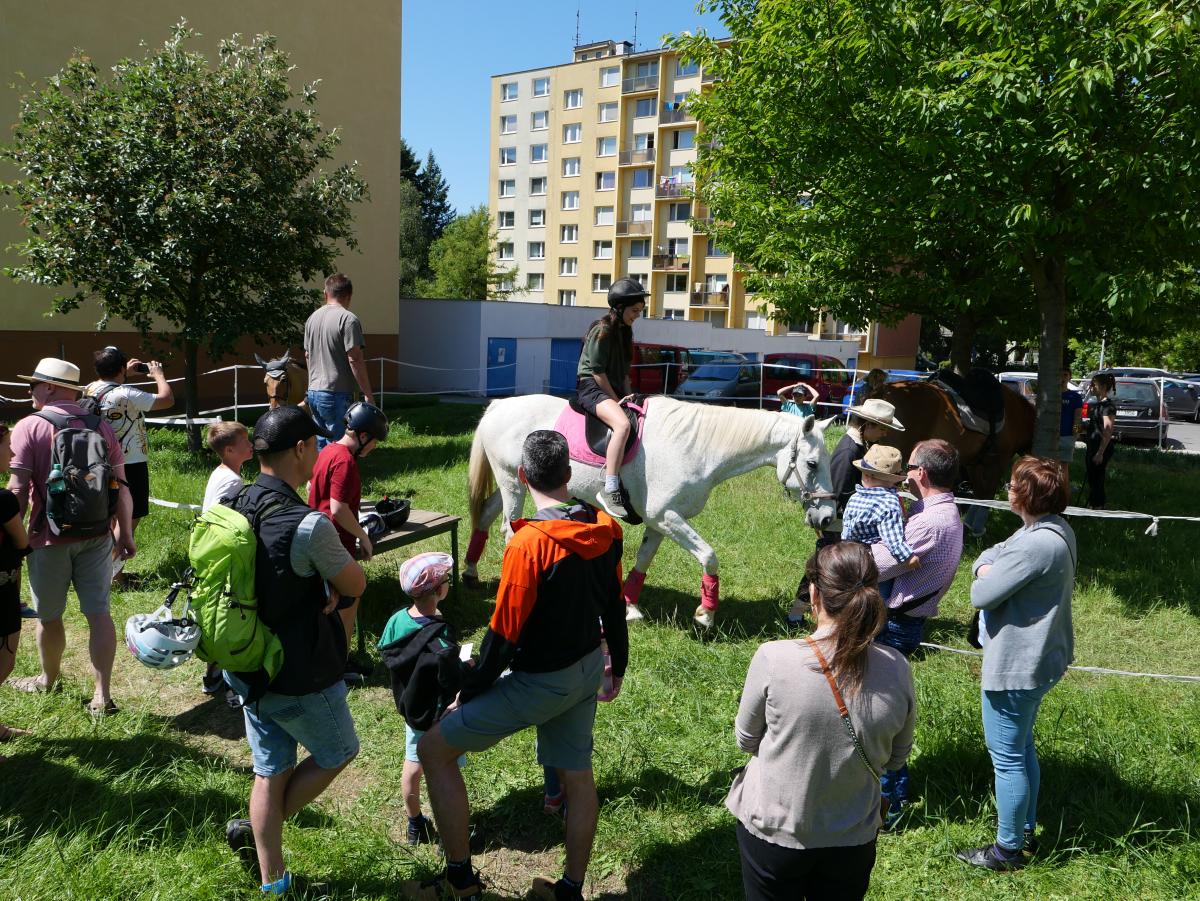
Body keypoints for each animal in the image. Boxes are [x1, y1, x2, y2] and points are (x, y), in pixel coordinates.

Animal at [464, 394, 837, 628]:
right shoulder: (667, 517)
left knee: (485, 515)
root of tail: (499, 406)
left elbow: (643, 561)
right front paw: (706, 613)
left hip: (513, 481)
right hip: (512, 482)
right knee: (509, 529)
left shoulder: (660, 522)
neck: (696, 446)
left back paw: (470, 573)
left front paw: (628, 607)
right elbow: (709, 556)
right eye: (812, 463)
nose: (828, 517)